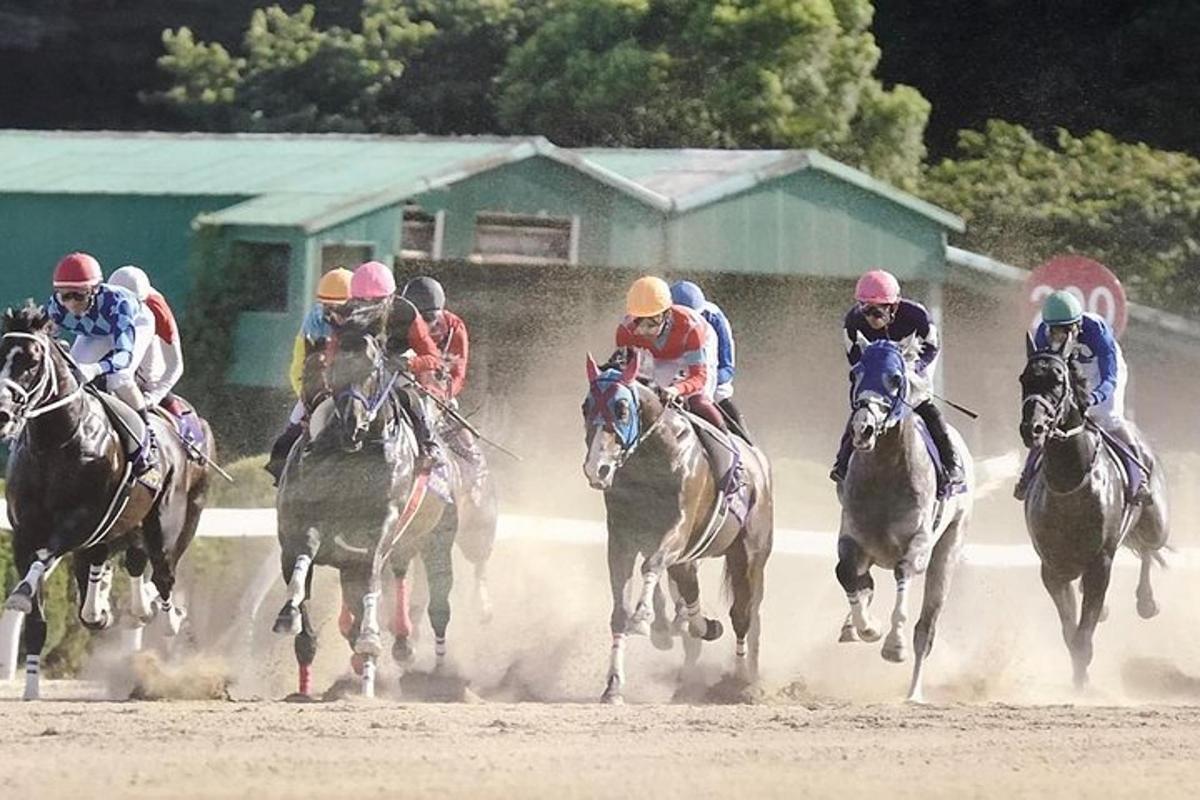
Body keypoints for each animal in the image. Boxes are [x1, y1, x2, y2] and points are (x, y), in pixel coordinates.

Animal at [0, 303, 213, 695]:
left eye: (33, 361)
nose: (3, 413)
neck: (56, 443)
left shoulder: (80, 521)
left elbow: (46, 556)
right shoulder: (24, 532)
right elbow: (36, 614)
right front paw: (31, 687)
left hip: (168, 524)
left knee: (162, 575)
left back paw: (167, 619)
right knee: (117, 563)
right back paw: (109, 607)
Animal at [840, 335, 969, 700]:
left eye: (896, 378)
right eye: (855, 373)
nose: (863, 429)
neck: (885, 472)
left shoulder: (919, 542)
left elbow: (903, 572)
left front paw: (893, 644)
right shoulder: (852, 537)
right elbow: (847, 574)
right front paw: (866, 627)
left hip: (948, 549)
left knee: (926, 629)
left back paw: (913, 694)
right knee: (864, 582)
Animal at [1017, 338, 1166, 690]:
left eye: (1058, 381)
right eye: (1024, 380)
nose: (1033, 429)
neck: (1070, 485)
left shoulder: (1100, 563)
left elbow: (1083, 634)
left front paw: (1082, 682)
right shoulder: (1052, 568)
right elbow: (1070, 631)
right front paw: (1078, 674)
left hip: (1157, 524)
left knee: (1149, 549)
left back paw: (1146, 601)